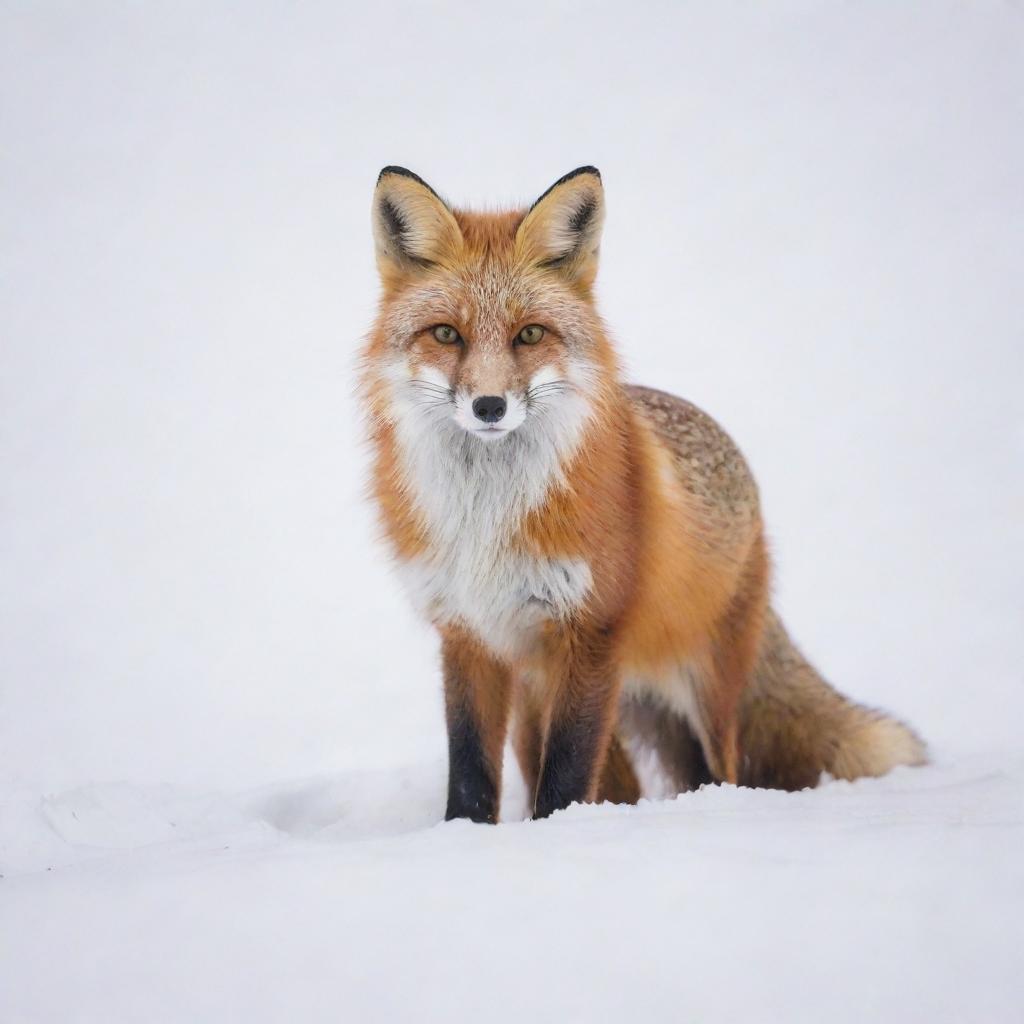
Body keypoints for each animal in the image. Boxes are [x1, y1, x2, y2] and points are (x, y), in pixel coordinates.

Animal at [362, 167, 929, 823]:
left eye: (530, 334)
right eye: (446, 334)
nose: (489, 406)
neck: (487, 518)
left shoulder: (591, 633)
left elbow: (566, 773)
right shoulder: (468, 633)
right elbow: (471, 771)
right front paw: (465, 835)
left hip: (704, 689)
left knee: (719, 770)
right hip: (542, 693)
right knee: (621, 786)